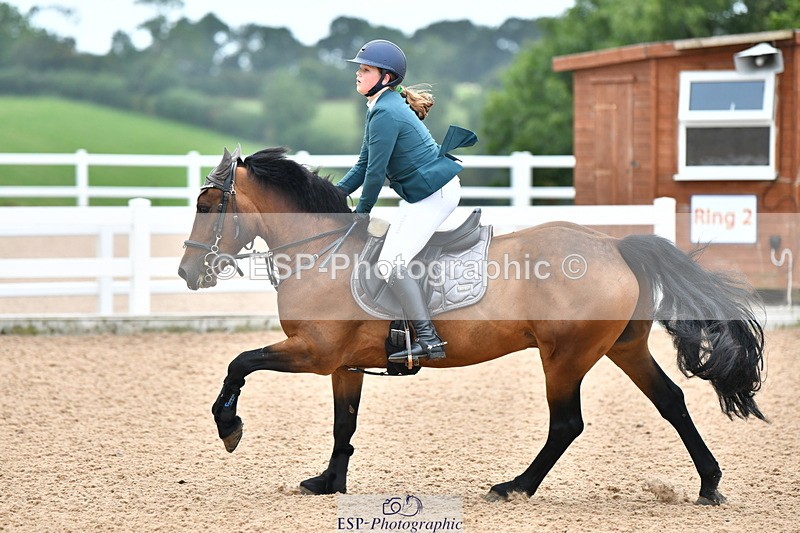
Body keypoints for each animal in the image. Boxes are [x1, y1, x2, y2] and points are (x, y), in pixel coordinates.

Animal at [178, 146, 765, 505]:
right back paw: (710, 485)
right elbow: (344, 425)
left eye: (208, 206)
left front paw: (228, 426)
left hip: (565, 356)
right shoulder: (344, 365)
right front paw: (329, 482)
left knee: (566, 424)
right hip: (623, 348)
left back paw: (513, 487)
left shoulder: (313, 352)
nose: (186, 273)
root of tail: (614, 245)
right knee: (671, 401)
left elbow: (239, 363)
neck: (321, 254)